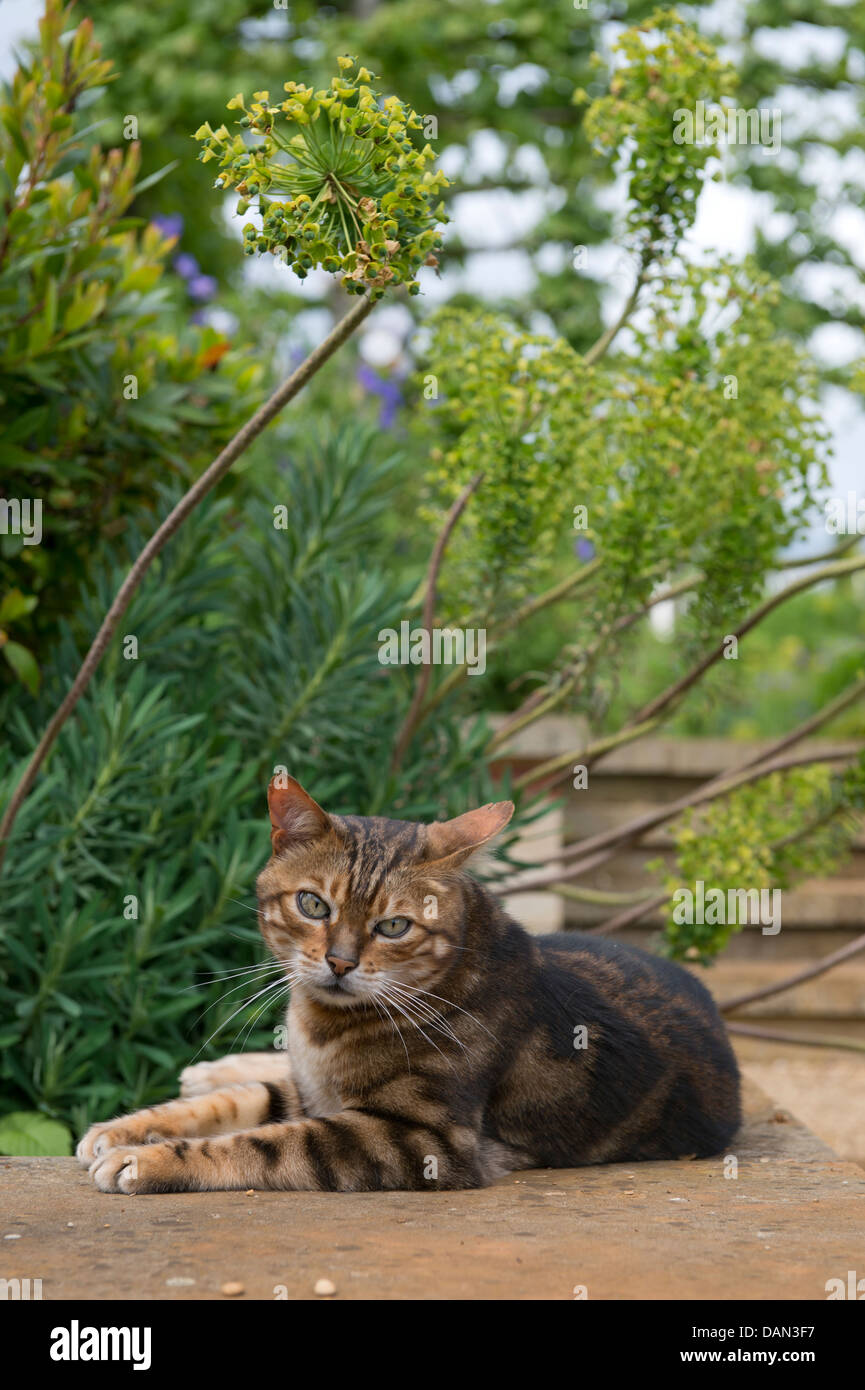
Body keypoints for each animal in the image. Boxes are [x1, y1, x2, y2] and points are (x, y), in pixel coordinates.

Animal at [77, 778, 739, 1189]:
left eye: (394, 925)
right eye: (313, 905)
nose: (340, 962)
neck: (321, 1027)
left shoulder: (416, 1139)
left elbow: (259, 1143)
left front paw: (144, 1159)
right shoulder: (311, 1090)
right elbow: (231, 1105)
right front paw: (120, 1130)